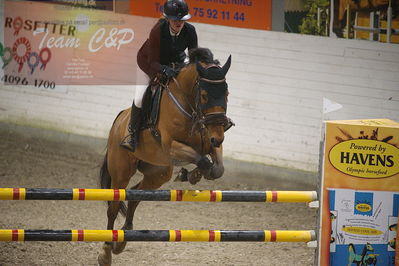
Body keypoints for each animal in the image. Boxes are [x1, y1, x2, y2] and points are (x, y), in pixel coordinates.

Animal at [98, 47, 233, 266]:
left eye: (226, 93)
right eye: (204, 95)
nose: (219, 136)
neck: (189, 105)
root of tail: (119, 119)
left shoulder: (210, 142)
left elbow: (217, 167)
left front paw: (193, 175)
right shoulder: (172, 146)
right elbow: (203, 160)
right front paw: (191, 174)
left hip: (158, 173)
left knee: (135, 195)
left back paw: (123, 239)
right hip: (121, 172)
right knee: (114, 206)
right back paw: (106, 251)